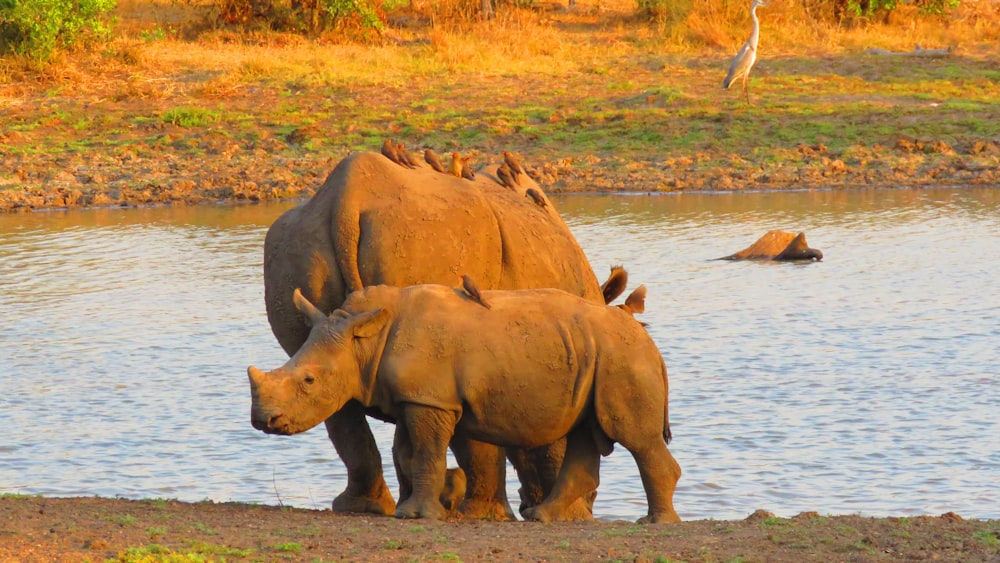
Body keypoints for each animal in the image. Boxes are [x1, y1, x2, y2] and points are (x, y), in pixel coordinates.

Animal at [262, 149, 620, 520]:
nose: (589, 506)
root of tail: (346, 200)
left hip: (299, 246)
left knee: (328, 381)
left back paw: (372, 507)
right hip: (433, 243)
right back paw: (483, 513)